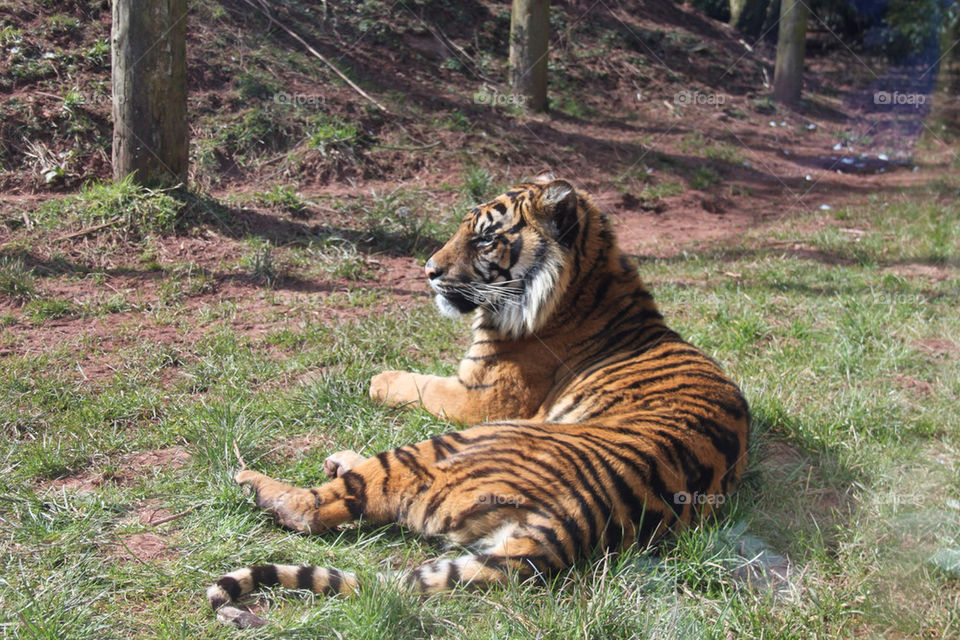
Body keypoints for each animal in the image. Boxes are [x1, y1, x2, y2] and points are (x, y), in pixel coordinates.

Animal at [206, 174, 750, 628]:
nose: (428, 271)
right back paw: (338, 458)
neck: (587, 285)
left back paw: (254, 482)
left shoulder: (480, 398)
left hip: (451, 443)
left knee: (318, 507)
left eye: (486, 239)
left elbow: (412, 382)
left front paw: (377, 379)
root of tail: (572, 522)